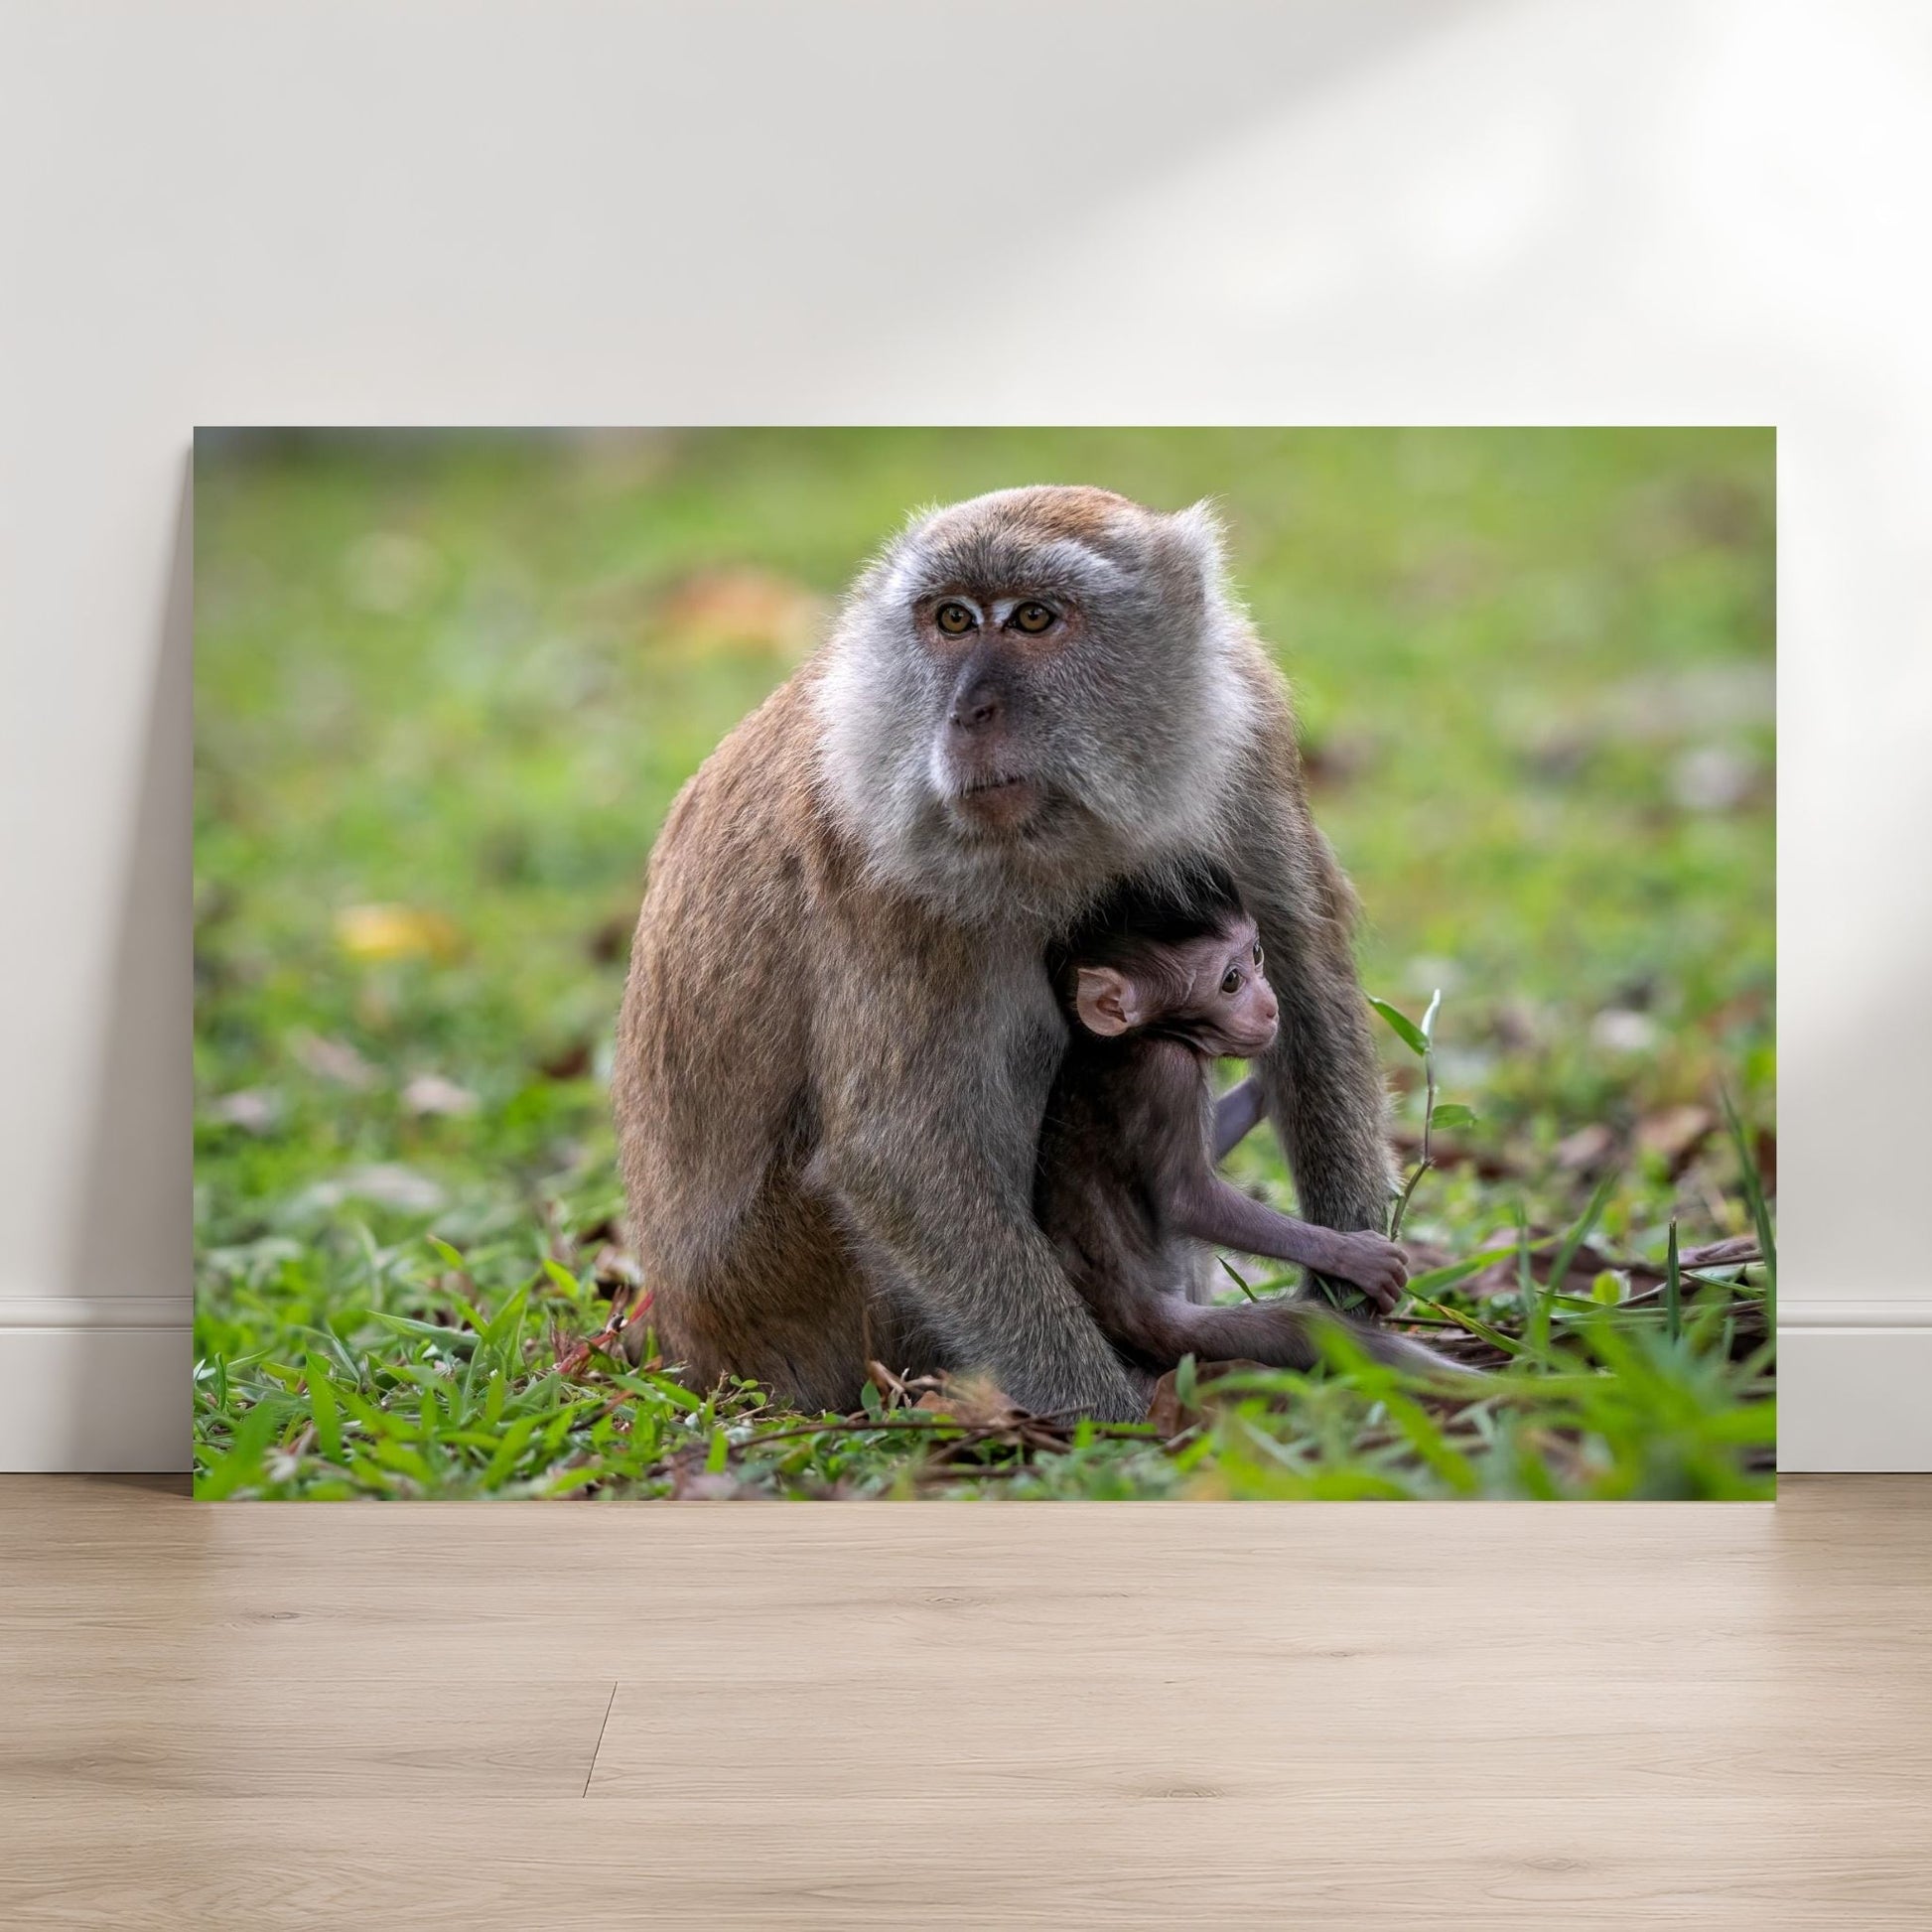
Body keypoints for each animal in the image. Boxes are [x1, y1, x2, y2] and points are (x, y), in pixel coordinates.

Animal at [615, 485, 1397, 1423]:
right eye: (952, 619)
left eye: (1032, 618)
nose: (966, 714)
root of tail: (681, 1340)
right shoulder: (881, 856)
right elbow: (901, 1156)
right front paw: (1110, 1418)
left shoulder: (1247, 734)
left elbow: (1309, 997)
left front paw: (1348, 1291)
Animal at [1035, 862, 1463, 1385]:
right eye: (1231, 982)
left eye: (1256, 955)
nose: (1271, 1006)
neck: (1139, 1036)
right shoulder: (1168, 1072)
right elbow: (1188, 1199)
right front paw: (1348, 1255)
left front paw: (1269, 1081)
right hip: (1181, 1331)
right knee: (1311, 1332)